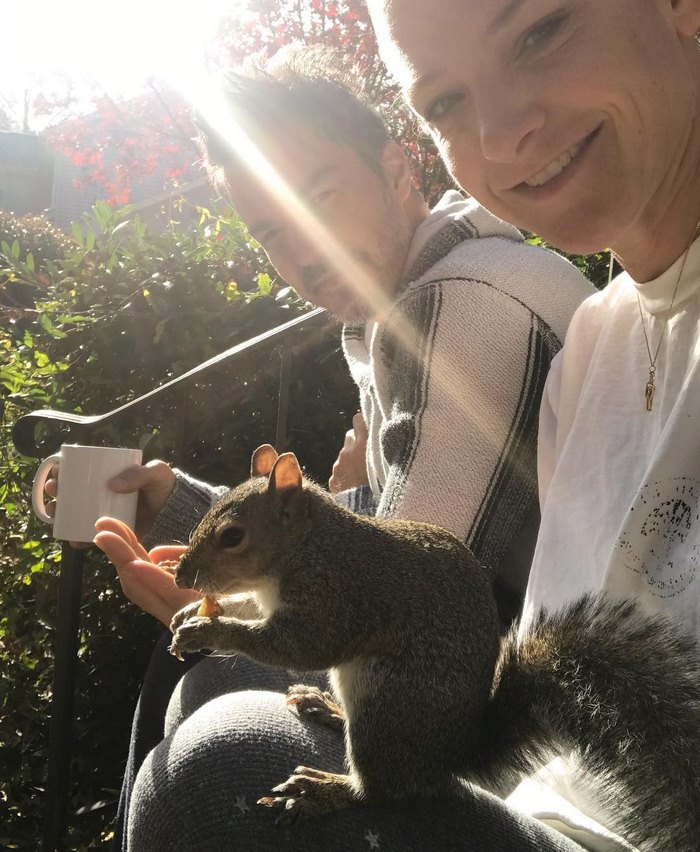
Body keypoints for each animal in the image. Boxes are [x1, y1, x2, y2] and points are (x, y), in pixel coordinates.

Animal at [169, 444, 700, 852]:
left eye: (232, 536)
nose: (181, 578)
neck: (306, 544)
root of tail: (452, 756)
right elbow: (252, 611)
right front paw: (189, 614)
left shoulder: (338, 595)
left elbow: (301, 647)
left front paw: (209, 632)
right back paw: (328, 709)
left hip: (390, 706)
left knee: (382, 790)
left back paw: (323, 791)